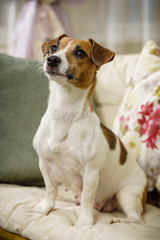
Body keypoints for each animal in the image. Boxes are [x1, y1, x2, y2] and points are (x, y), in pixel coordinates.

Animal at [32, 34, 148, 227]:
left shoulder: (91, 173)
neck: (65, 112)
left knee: (136, 218)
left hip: (127, 194)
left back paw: (119, 219)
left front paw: (84, 221)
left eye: (80, 53)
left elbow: (87, 198)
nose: (52, 59)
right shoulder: (45, 164)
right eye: (54, 48)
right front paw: (45, 207)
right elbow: (50, 190)